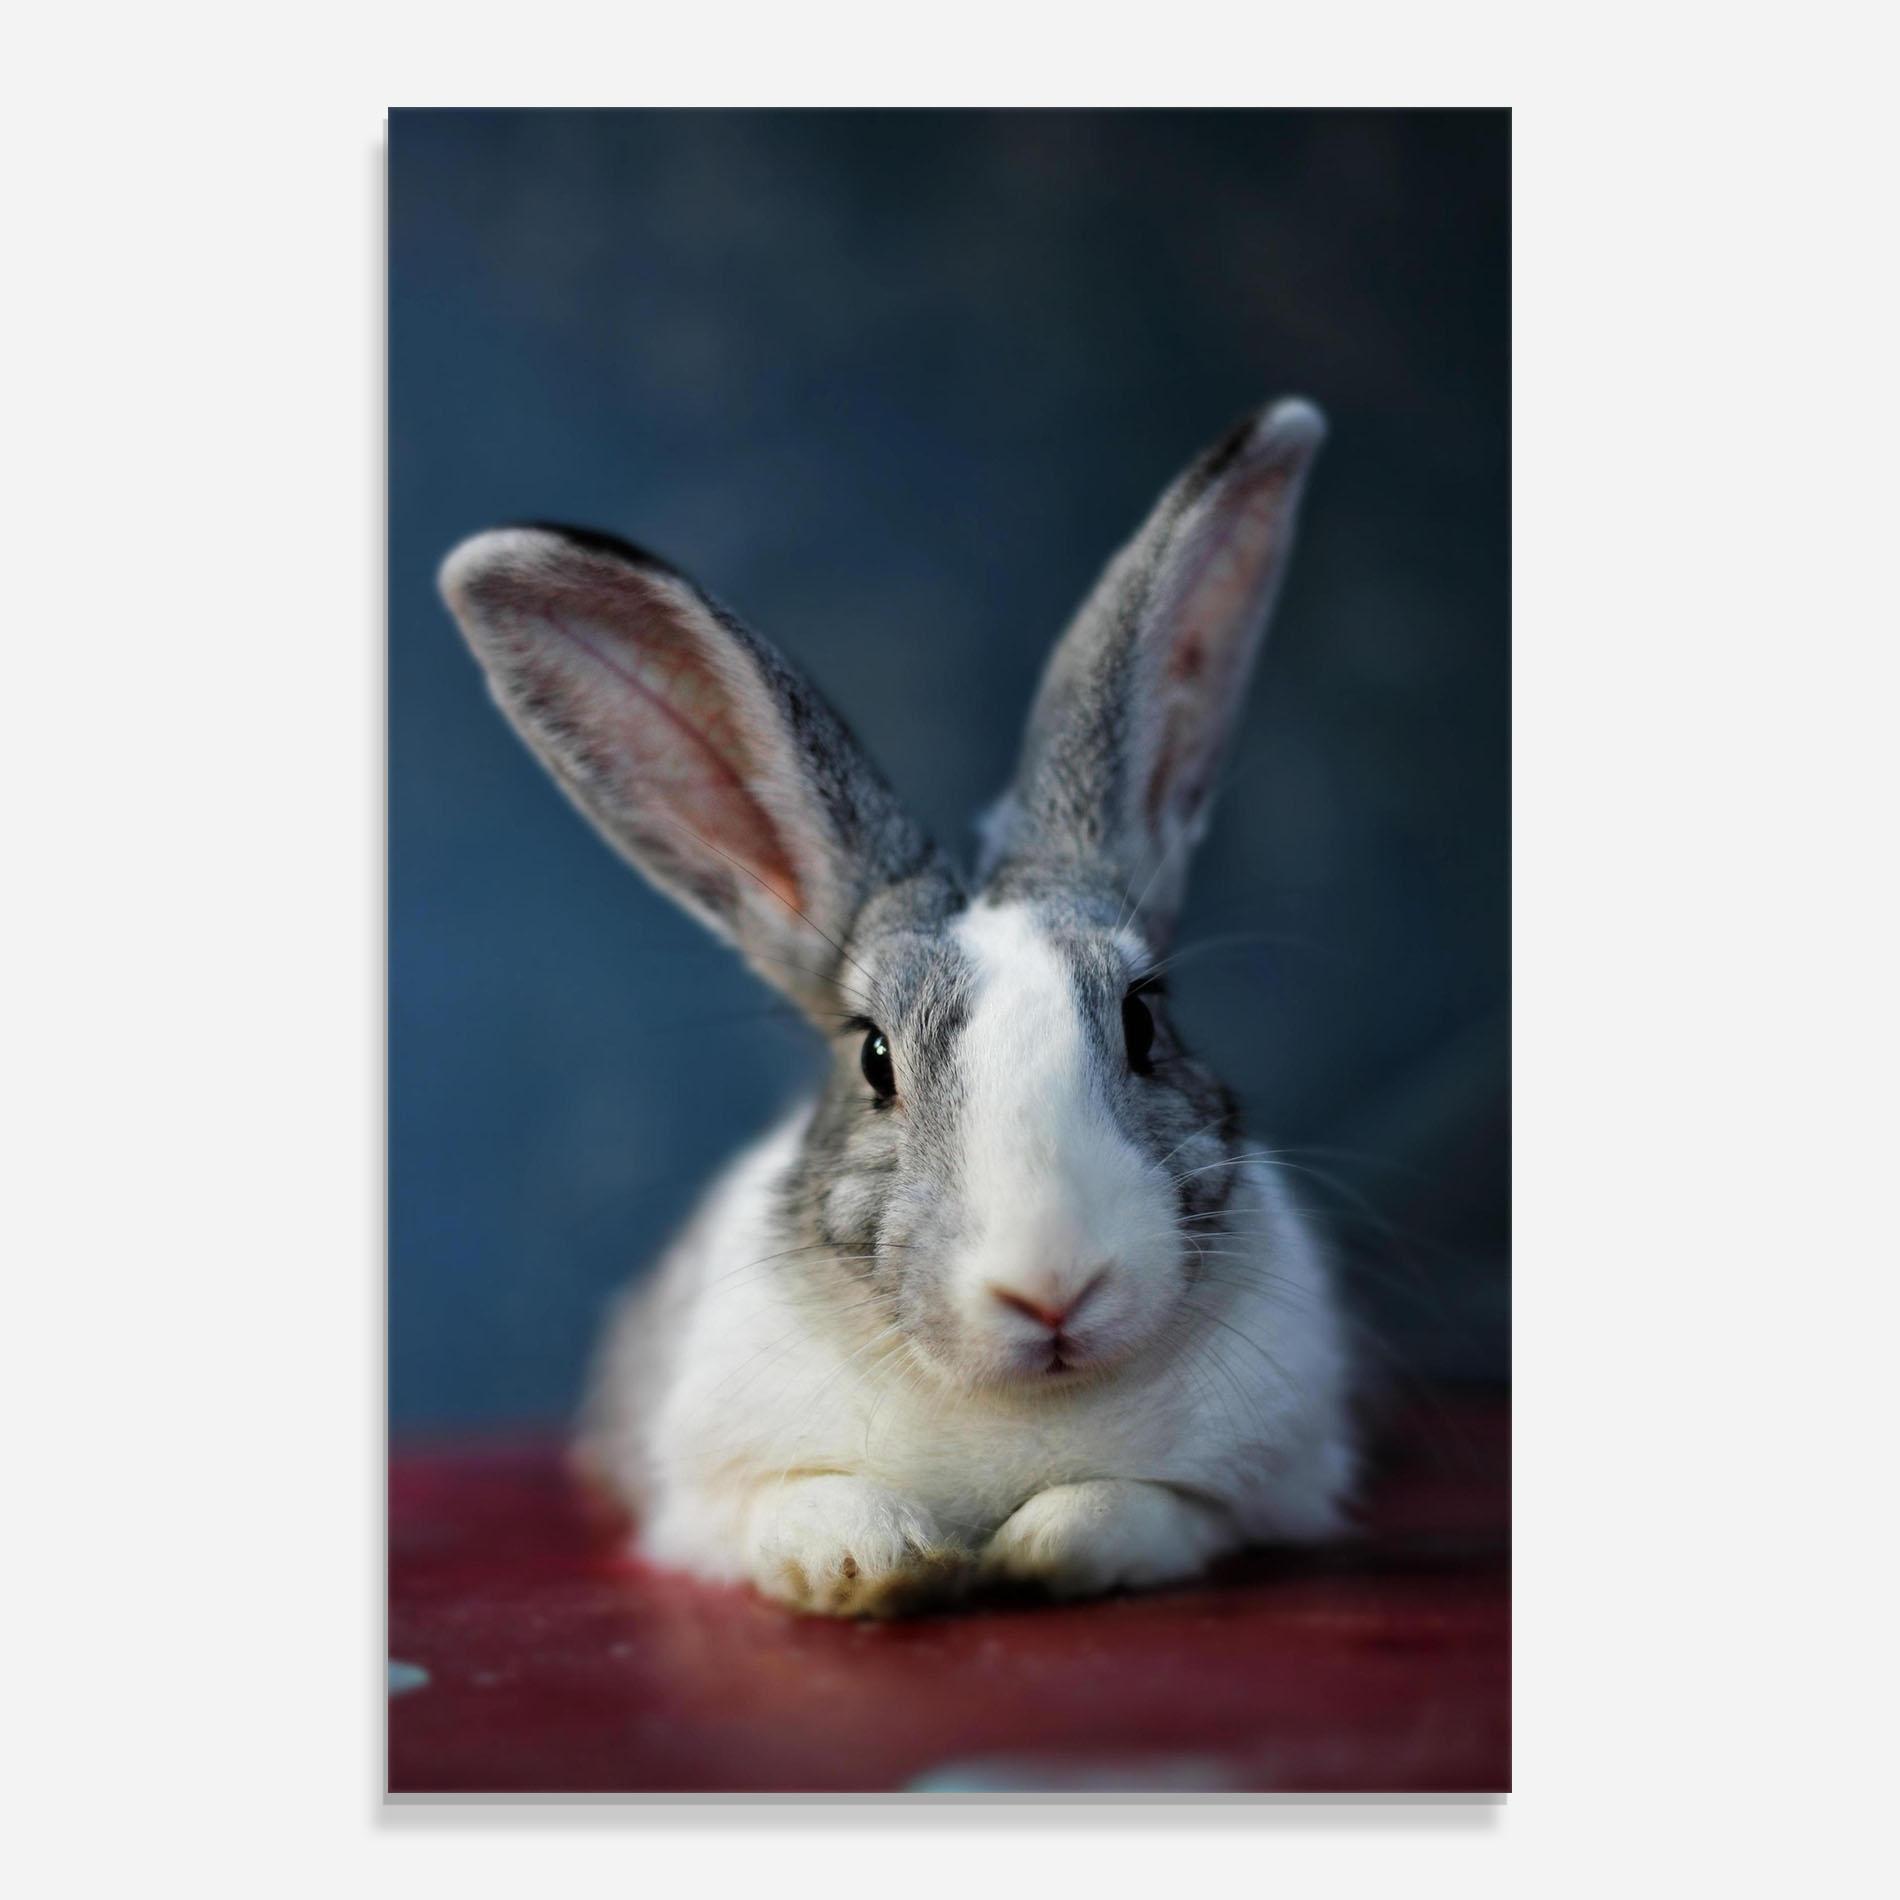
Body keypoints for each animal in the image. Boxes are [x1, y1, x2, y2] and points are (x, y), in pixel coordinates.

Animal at [439, 397, 1357, 1617]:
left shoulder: (1253, 1492)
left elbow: (1131, 1511)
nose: (1053, 1288)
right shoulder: (704, 1500)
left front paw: (1036, 1548)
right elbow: (806, 1509)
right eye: (875, 1058)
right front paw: (882, 1564)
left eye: (1144, 1019)